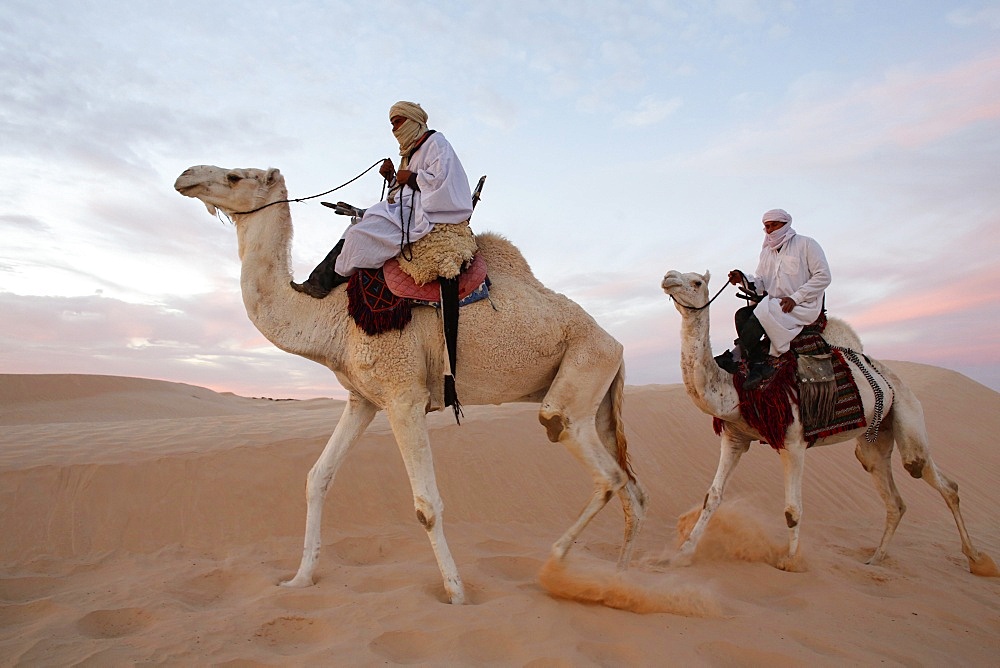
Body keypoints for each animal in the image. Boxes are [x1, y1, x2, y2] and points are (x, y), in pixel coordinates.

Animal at [176, 164, 648, 604]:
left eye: (235, 176)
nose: (185, 177)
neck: (331, 317)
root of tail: (618, 345)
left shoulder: (404, 394)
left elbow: (426, 506)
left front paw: (456, 595)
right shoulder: (362, 399)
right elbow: (317, 478)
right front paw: (299, 579)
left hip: (582, 373)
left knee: (599, 465)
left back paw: (560, 564)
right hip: (599, 400)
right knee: (632, 488)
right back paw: (619, 583)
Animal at [660, 268, 996, 576]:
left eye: (696, 281)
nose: (668, 277)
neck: (736, 384)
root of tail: (893, 381)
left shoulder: (793, 442)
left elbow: (792, 510)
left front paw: (790, 561)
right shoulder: (735, 437)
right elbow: (712, 497)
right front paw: (683, 553)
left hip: (908, 412)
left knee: (933, 476)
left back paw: (978, 560)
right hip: (874, 441)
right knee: (894, 500)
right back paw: (875, 560)